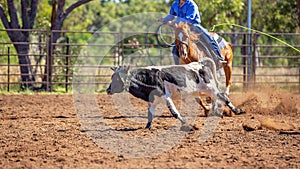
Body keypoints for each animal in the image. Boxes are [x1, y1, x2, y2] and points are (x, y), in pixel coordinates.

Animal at [106, 61, 245, 129]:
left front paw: (187, 123)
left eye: (117, 78)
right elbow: (150, 115)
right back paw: (215, 112)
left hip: (209, 87)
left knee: (223, 96)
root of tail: (201, 65)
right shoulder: (152, 100)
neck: (147, 78)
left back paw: (237, 111)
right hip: (201, 91)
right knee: (216, 98)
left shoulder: (165, 96)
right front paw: (147, 127)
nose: (108, 90)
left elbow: (174, 112)